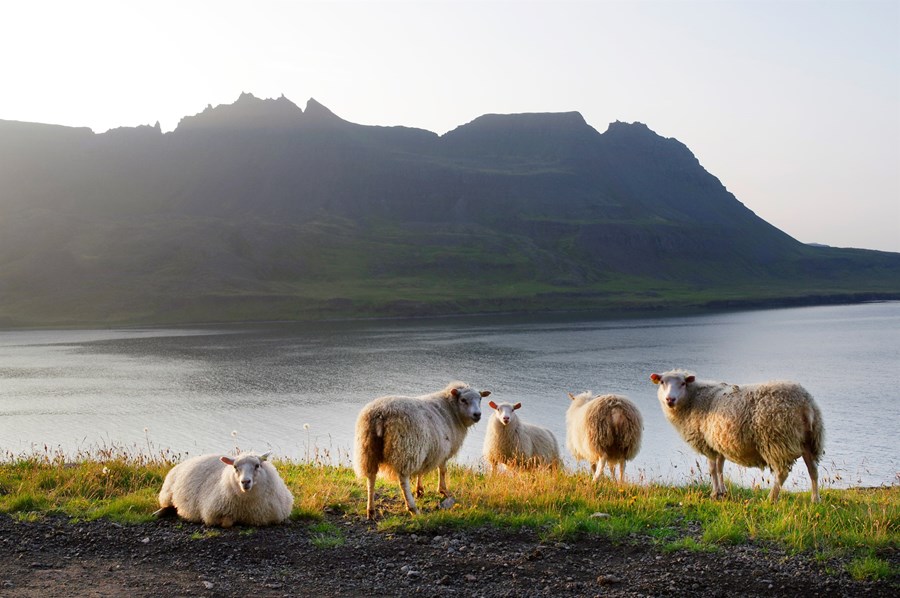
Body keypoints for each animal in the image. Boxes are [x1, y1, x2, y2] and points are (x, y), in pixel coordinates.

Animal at [155, 452, 294, 528]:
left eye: (257, 465)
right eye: (235, 467)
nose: (245, 482)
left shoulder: (272, 516)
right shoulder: (213, 513)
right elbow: (227, 523)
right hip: (167, 493)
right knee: (168, 506)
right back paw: (158, 513)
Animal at [354, 384, 492, 520]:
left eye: (480, 399)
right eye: (463, 400)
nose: (477, 414)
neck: (452, 410)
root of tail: (380, 413)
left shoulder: (427, 450)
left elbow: (421, 470)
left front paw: (419, 490)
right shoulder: (443, 451)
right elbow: (442, 470)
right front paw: (443, 490)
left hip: (368, 449)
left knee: (371, 478)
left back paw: (371, 510)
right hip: (406, 449)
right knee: (403, 481)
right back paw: (412, 508)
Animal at [652, 368, 828, 504]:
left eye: (682, 383)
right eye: (662, 382)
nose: (670, 399)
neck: (694, 399)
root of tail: (805, 403)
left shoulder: (708, 444)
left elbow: (712, 469)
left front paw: (714, 493)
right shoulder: (719, 443)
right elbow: (720, 468)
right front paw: (722, 492)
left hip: (776, 441)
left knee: (782, 473)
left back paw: (771, 499)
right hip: (810, 440)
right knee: (813, 470)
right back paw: (815, 499)